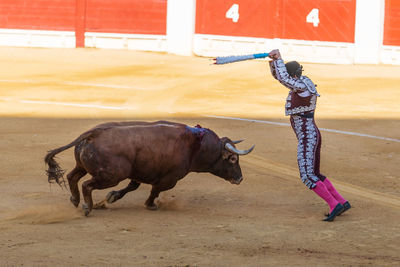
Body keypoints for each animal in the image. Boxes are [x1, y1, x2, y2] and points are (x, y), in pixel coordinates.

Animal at [44, 120, 256, 217]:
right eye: (232, 158)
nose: (240, 178)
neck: (196, 145)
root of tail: (93, 134)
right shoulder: (169, 179)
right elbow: (155, 191)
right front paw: (150, 204)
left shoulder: (140, 173)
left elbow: (133, 186)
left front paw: (112, 197)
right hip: (110, 176)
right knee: (87, 185)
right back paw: (87, 207)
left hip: (84, 166)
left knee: (72, 177)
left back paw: (75, 200)